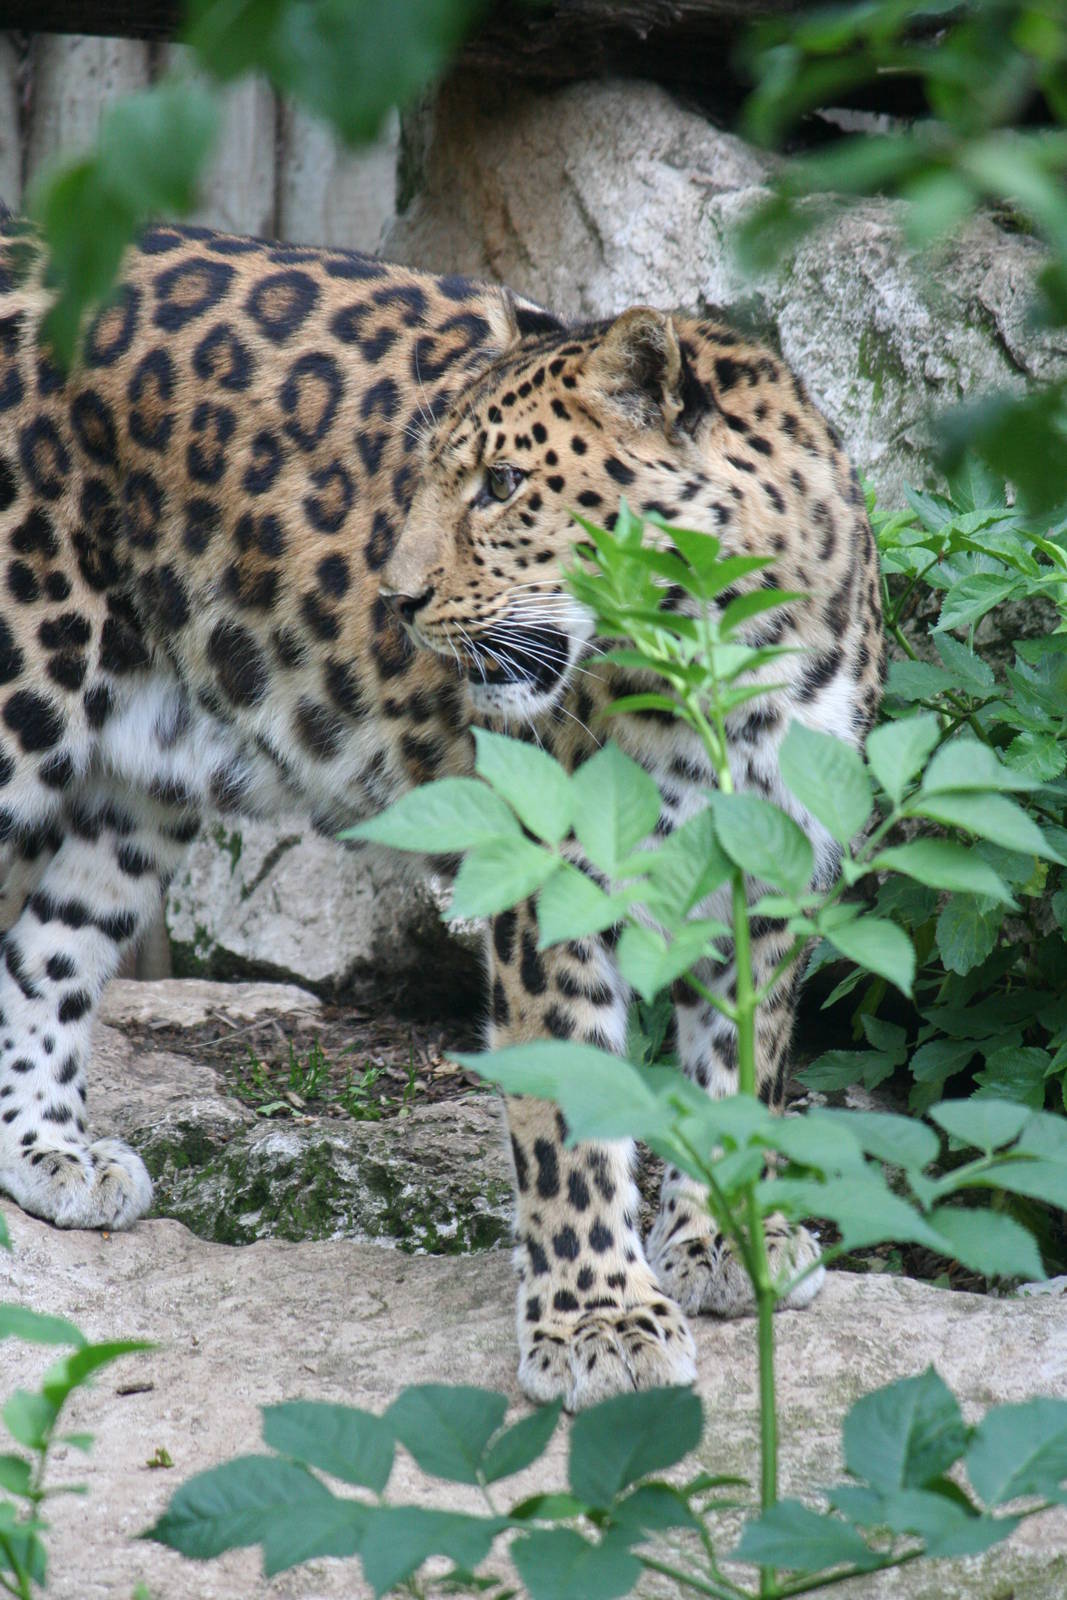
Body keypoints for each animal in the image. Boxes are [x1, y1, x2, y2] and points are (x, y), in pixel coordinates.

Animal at [0, 215, 884, 1411]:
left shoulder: (772, 862)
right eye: (426, 475)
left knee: (46, 950)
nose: (396, 599)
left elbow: (740, 1065)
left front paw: (722, 1237)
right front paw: (598, 1320)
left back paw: (52, 1154)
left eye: (505, 483)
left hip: (143, 780)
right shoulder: (554, 877)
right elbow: (564, 1113)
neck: (720, 656)